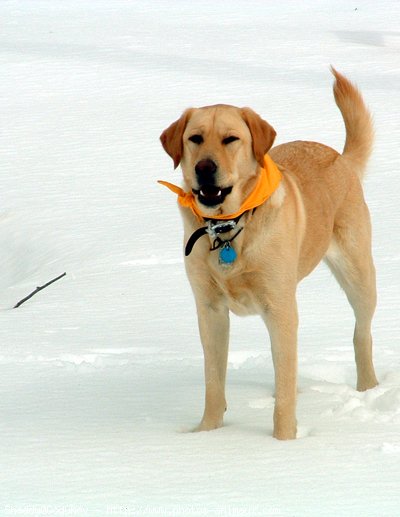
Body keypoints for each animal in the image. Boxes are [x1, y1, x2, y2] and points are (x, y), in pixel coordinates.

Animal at [158, 68, 376, 440]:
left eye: (230, 139)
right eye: (195, 138)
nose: (204, 168)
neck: (228, 227)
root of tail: (340, 158)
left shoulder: (280, 306)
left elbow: (286, 391)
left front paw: (283, 442)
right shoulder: (210, 310)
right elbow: (213, 383)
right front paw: (207, 434)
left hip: (358, 275)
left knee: (361, 333)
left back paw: (368, 389)